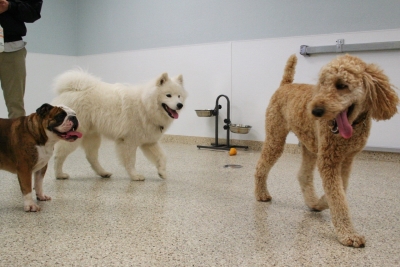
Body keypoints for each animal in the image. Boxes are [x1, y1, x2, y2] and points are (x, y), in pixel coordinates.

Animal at [51, 70, 188, 181]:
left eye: (179, 96)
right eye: (168, 95)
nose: (180, 105)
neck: (145, 105)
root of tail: (69, 90)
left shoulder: (149, 142)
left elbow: (162, 156)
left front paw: (162, 172)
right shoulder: (129, 142)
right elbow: (131, 161)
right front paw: (135, 176)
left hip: (92, 136)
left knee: (91, 157)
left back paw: (103, 173)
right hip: (74, 136)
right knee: (58, 155)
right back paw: (59, 175)